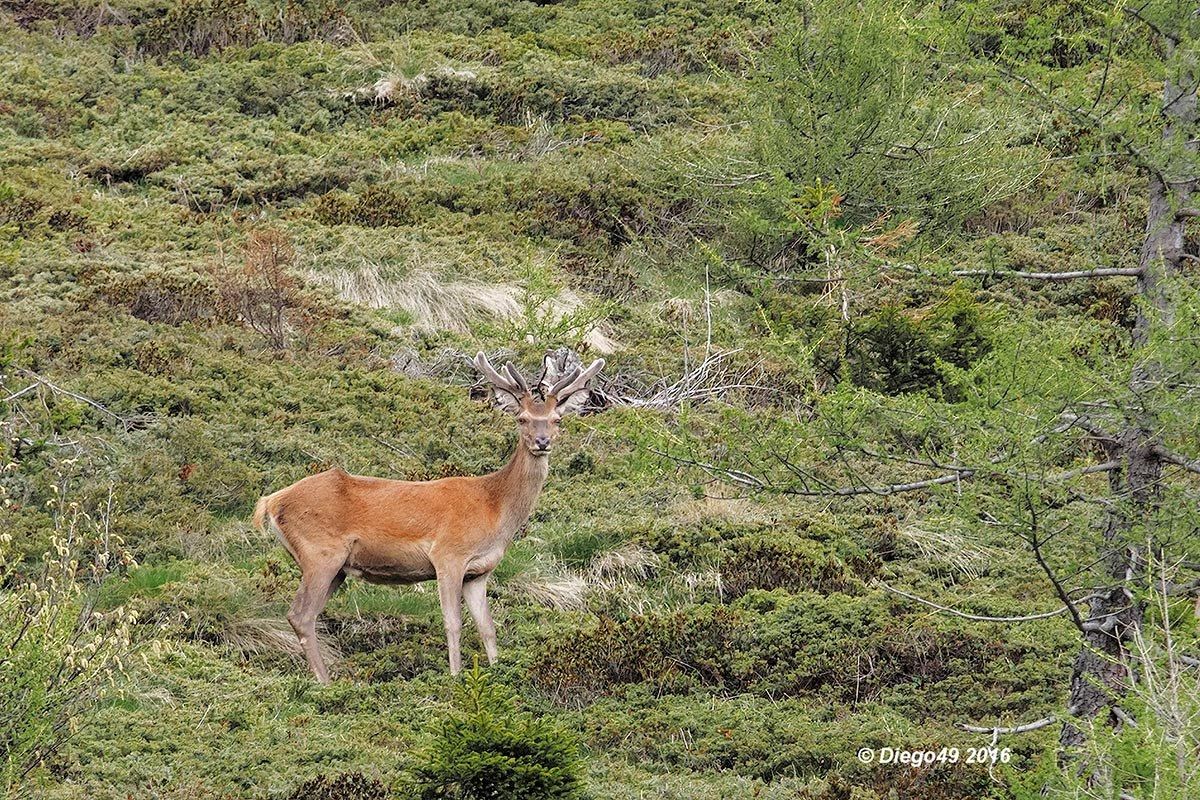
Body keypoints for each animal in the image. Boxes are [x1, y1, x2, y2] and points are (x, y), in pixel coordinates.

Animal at [253, 351, 605, 683]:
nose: (542, 442)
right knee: (300, 614)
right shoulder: (448, 555)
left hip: (335, 567)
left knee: (306, 615)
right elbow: (453, 623)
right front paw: (456, 676)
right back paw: (325, 683)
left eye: (557, 419)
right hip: (320, 553)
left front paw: (498, 672)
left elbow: (487, 627)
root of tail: (271, 502)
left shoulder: (479, 572)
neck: (494, 507)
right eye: (522, 418)